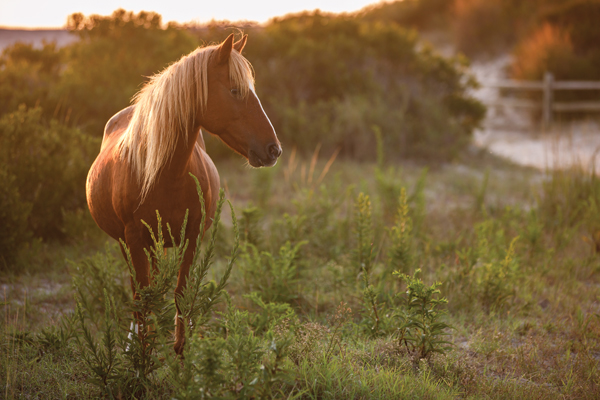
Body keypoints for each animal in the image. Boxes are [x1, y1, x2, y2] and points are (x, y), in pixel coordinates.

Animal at [85, 33, 282, 354]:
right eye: (235, 90)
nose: (273, 150)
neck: (164, 175)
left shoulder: (192, 236)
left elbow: (180, 293)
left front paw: (182, 353)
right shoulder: (133, 238)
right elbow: (143, 297)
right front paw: (143, 356)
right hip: (128, 244)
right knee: (138, 293)